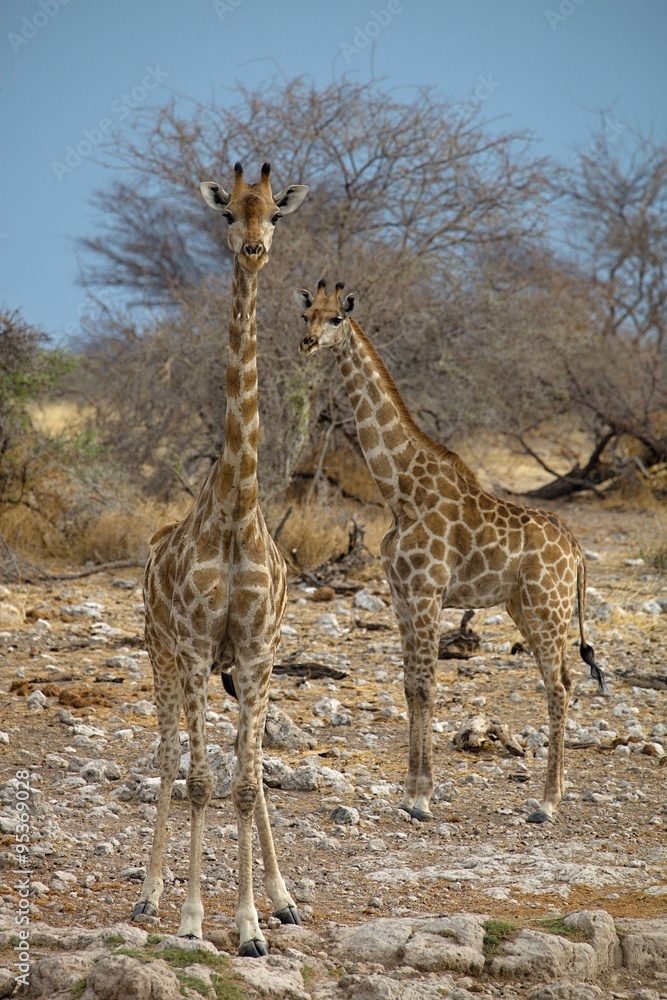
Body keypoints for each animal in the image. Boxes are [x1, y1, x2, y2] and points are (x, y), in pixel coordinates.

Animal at [295, 280, 605, 825]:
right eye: (306, 313)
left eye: (337, 319)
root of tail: (576, 551)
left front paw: (422, 797)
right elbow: (410, 687)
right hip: (524, 607)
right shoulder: (401, 595)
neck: (398, 491)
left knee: (560, 684)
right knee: (565, 678)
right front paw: (409, 793)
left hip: (547, 608)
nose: (308, 343)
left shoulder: (426, 592)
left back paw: (547, 802)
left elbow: (427, 687)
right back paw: (558, 791)